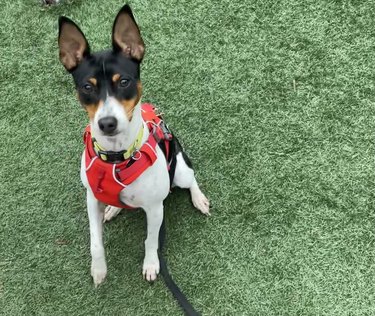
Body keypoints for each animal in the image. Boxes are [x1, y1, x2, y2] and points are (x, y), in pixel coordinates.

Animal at [58, 3, 212, 286]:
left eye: (124, 81)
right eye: (87, 87)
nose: (107, 123)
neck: (116, 155)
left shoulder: (155, 209)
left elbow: (151, 240)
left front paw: (151, 265)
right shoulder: (90, 199)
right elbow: (95, 242)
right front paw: (99, 269)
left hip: (180, 171)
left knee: (191, 178)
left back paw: (199, 199)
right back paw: (112, 209)